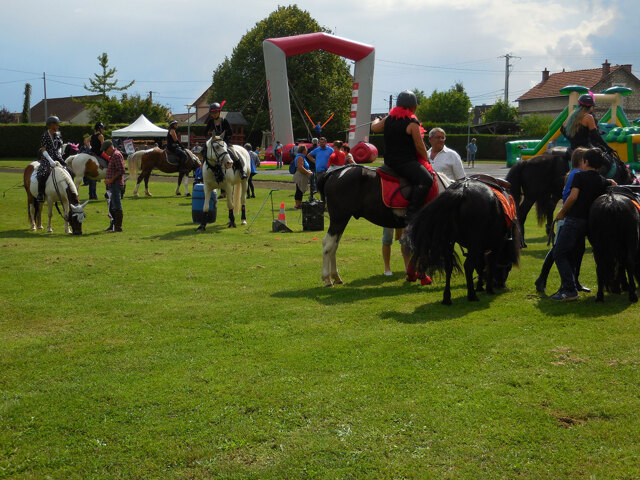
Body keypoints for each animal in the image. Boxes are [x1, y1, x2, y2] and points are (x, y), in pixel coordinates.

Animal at [318, 163, 450, 286]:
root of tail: (334, 173)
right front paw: (421, 276)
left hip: (341, 221)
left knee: (334, 246)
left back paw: (335, 276)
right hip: (339, 219)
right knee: (327, 244)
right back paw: (327, 279)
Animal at [408, 178, 524, 306]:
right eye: (508, 267)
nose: (500, 284)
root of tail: (462, 191)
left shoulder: (477, 248)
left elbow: (480, 264)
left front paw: (480, 286)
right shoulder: (496, 244)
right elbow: (490, 264)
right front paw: (488, 288)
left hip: (449, 242)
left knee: (448, 266)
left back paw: (447, 298)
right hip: (475, 242)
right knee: (468, 266)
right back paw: (472, 295)